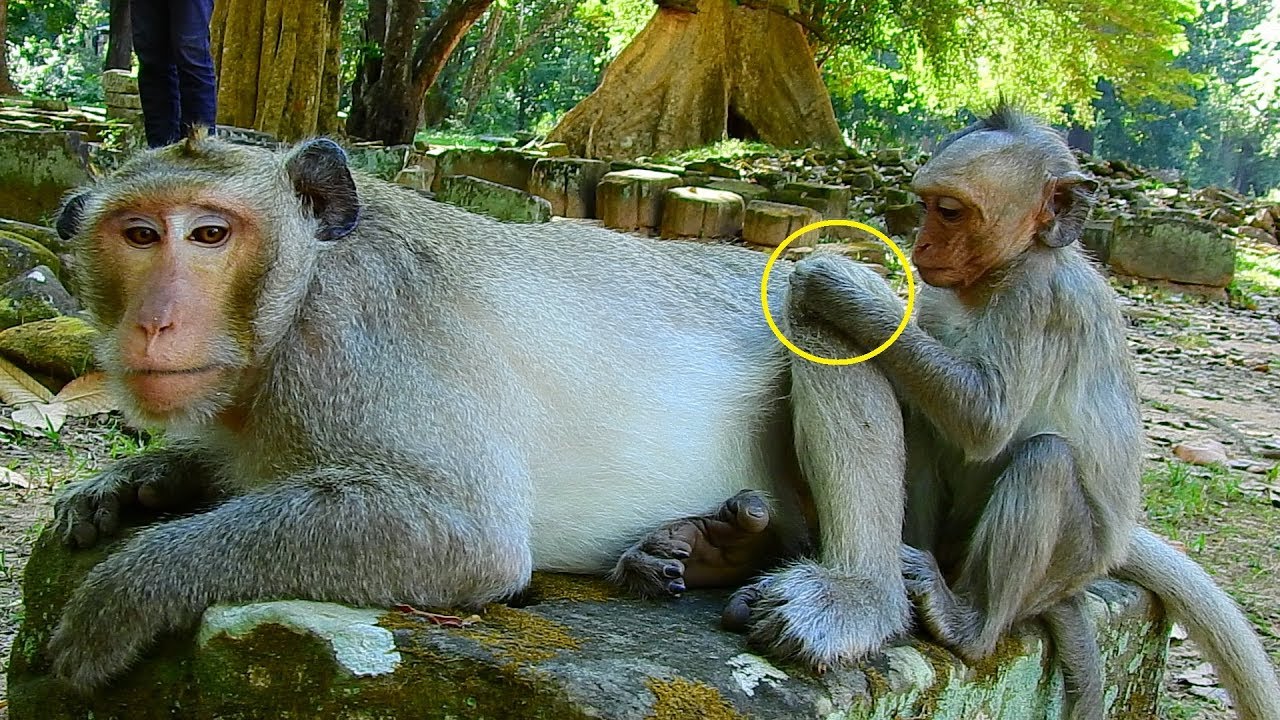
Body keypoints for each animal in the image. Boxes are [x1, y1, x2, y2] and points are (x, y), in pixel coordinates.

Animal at [46, 132, 910, 691]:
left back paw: (854, 593)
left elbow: (467, 536)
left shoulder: (353, 345)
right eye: (139, 234)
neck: (301, 295)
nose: (155, 322)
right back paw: (710, 548)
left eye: (210, 234)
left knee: (815, 303)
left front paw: (123, 594)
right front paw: (137, 480)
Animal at [764, 106, 1280, 720]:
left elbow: (984, 418)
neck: (1003, 270)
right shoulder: (943, 296)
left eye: (950, 211)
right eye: (924, 204)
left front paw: (840, 288)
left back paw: (972, 626)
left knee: (1045, 461)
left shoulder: (1036, 302)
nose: (921, 244)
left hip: (1071, 560)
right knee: (928, 430)